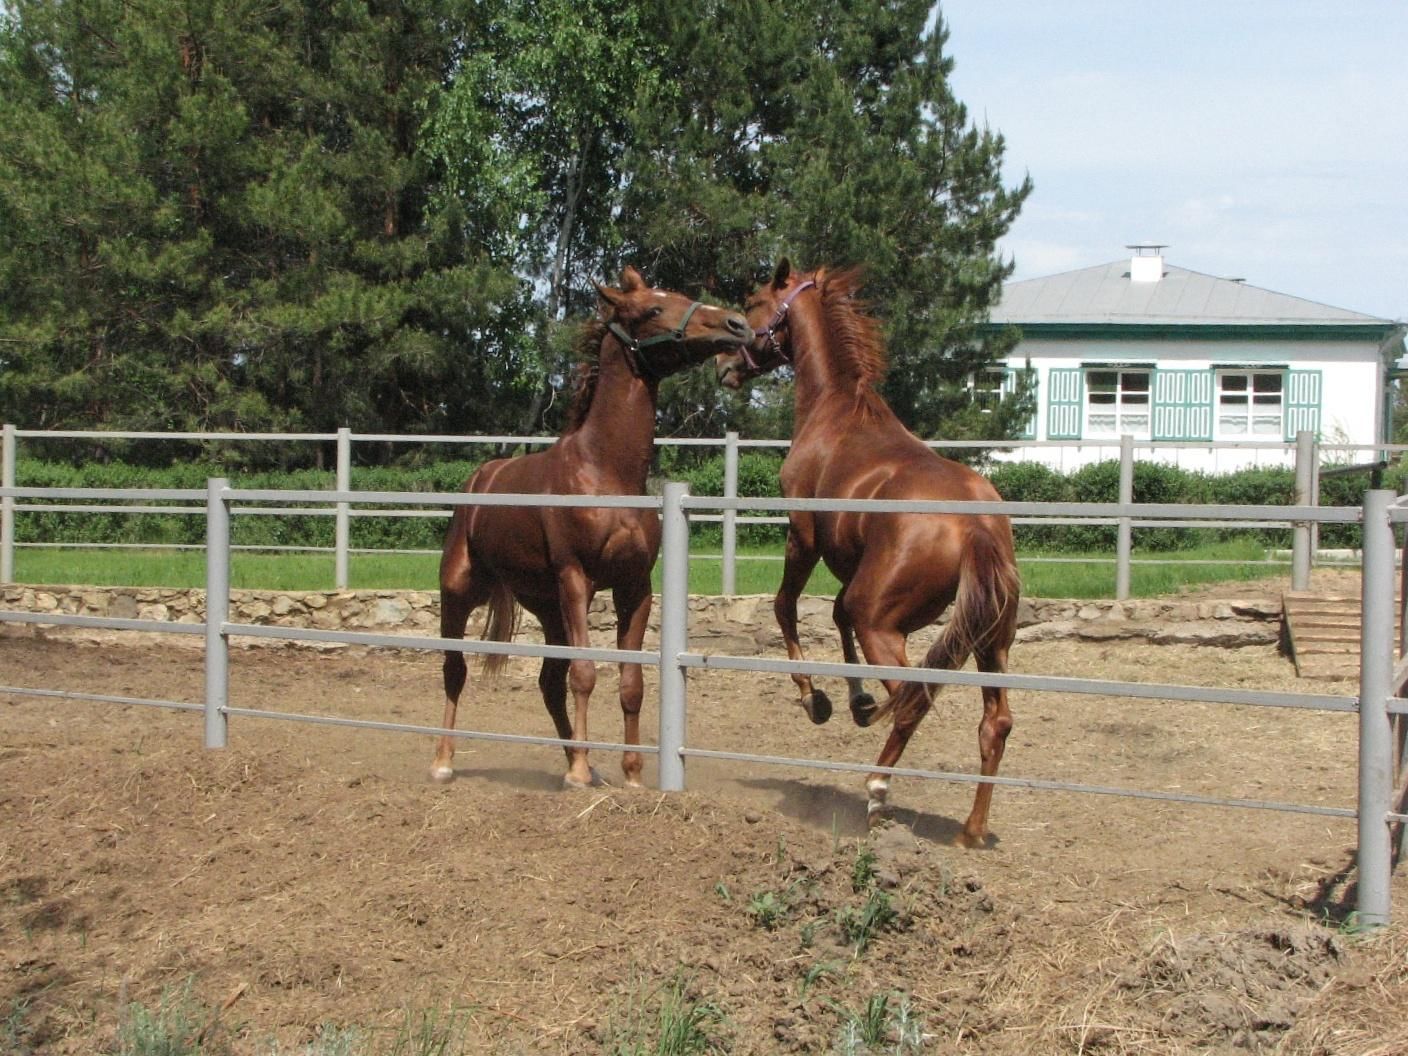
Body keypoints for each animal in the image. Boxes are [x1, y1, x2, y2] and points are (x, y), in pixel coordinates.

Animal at [433, 268, 754, 788]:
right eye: (651, 309)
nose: (737, 325)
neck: (605, 474)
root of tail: (480, 479)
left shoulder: (633, 587)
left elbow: (631, 682)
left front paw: (630, 774)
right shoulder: (576, 579)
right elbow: (585, 674)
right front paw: (581, 774)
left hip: (546, 608)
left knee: (548, 682)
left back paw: (577, 759)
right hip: (461, 590)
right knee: (454, 668)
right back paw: (445, 760)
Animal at [720, 260, 1019, 850]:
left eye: (753, 302)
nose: (724, 364)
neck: (836, 411)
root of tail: (976, 525)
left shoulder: (803, 535)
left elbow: (785, 607)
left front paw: (815, 698)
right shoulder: (851, 567)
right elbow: (833, 615)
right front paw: (855, 701)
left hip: (881, 622)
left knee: (911, 701)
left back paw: (877, 793)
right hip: (989, 642)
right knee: (993, 723)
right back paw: (970, 831)